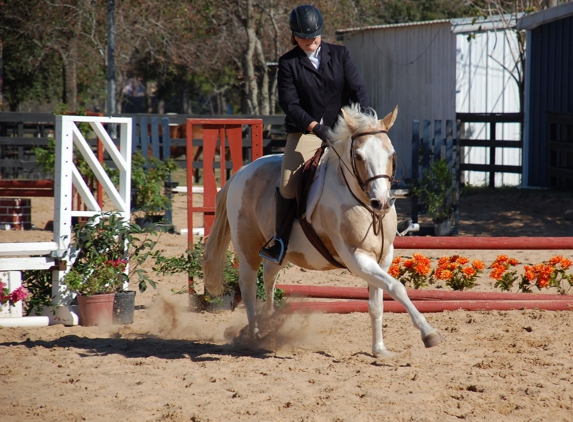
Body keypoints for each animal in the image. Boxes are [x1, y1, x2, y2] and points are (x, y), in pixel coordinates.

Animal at [203, 104, 444, 358]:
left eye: (391, 154)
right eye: (358, 156)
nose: (382, 203)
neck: (362, 202)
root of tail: (241, 172)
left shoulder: (383, 259)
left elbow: (377, 303)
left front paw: (379, 350)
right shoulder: (357, 259)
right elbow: (397, 287)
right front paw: (429, 333)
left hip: (280, 252)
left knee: (269, 277)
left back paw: (269, 323)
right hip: (247, 248)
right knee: (248, 286)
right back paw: (256, 336)